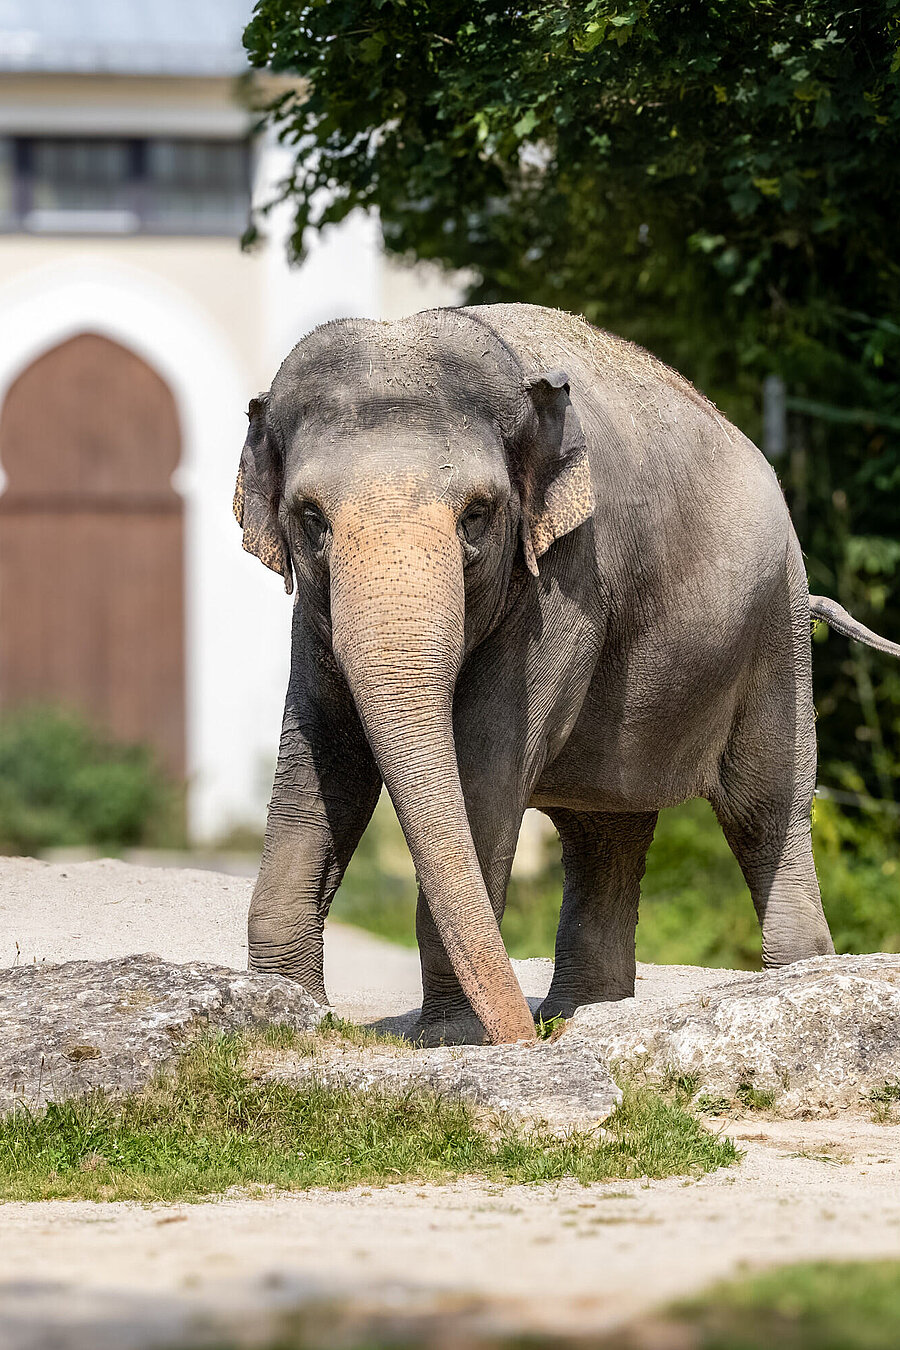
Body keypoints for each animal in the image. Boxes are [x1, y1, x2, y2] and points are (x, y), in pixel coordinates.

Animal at [234, 302, 900, 1046]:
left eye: (477, 515)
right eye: (310, 517)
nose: (519, 1037)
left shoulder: (565, 579)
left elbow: (485, 767)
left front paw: (451, 1040)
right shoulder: (314, 610)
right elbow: (323, 757)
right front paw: (283, 1010)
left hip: (776, 630)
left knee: (765, 810)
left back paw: (799, 978)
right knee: (603, 832)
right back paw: (584, 1014)